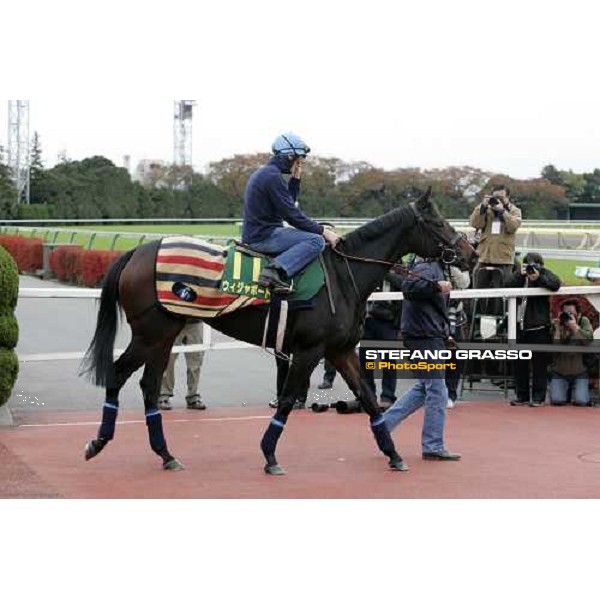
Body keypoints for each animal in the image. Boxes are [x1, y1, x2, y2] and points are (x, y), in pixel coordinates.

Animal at [83, 190, 478, 476]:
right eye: (438, 222)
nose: (471, 254)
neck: (342, 275)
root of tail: (137, 252)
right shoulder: (309, 350)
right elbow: (287, 400)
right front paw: (270, 455)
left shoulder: (340, 351)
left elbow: (367, 399)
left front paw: (393, 453)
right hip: (152, 334)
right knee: (121, 375)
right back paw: (101, 442)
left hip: (163, 336)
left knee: (147, 386)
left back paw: (163, 454)